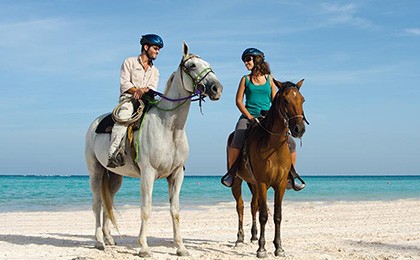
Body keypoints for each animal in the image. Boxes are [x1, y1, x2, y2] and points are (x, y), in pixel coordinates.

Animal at [85, 41, 223, 256]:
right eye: (192, 65)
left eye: (208, 64)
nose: (217, 88)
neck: (169, 128)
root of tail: (94, 124)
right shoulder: (148, 173)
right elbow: (146, 209)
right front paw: (143, 247)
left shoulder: (176, 174)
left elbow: (175, 211)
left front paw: (181, 247)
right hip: (96, 172)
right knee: (97, 204)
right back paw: (99, 241)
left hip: (114, 177)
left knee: (108, 204)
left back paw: (109, 239)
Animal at [228, 79, 306, 258]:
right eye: (285, 100)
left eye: (302, 100)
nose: (299, 129)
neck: (273, 145)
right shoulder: (263, 183)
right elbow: (263, 215)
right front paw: (262, 249)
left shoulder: (280, 184)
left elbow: (277, 215)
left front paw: (279, 247)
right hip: (238, 181)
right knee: (240, 207)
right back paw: (240, 238)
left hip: (253, 183)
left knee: (253, 206)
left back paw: (254, 236)